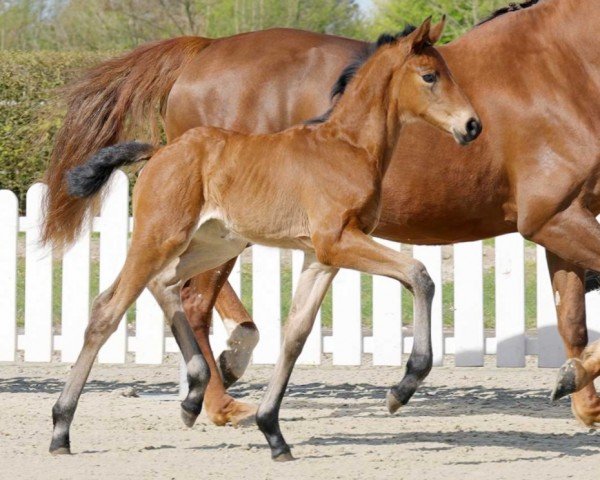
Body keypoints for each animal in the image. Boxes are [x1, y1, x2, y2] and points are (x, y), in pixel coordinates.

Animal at [44, 0, 600, 428]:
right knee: (188, 300)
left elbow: (572, 322)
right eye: (429, 76)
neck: (559, 66)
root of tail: (203, 50)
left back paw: (220, 374)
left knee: (177, 290)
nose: (472, 126)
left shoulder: (563, 219)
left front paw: (582, 400)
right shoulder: (552, 218)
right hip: (201, 229)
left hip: (219, 232)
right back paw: (220, 399)